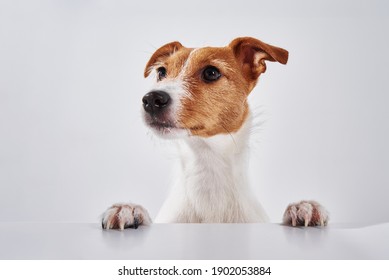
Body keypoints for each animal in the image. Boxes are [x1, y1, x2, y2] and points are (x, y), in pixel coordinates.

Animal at [100, 36, 328, 230]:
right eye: (161, 72)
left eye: (211, 72)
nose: (151, 99)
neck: (207, 165)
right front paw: (129, 210)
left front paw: (303, 207)